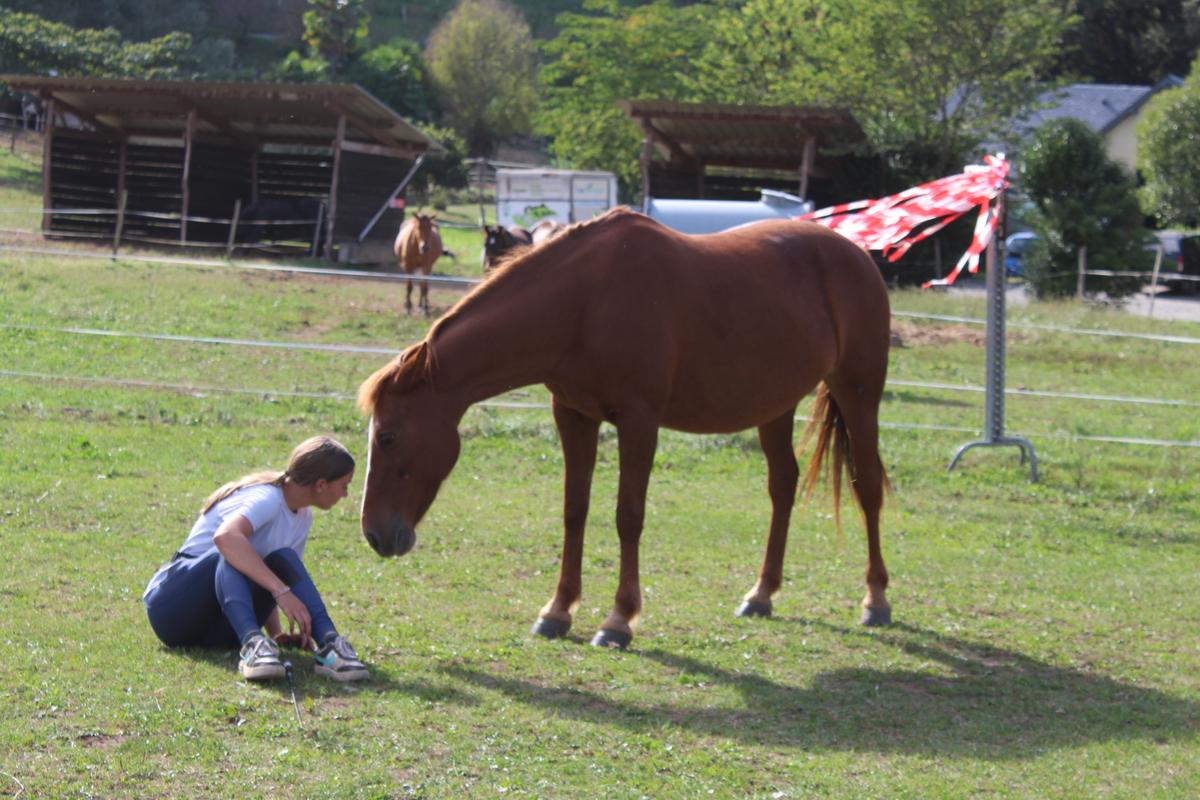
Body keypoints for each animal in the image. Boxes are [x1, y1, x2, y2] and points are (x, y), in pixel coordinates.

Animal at [358, 206, 892, 649]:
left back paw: (876, 601)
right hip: (774, 406)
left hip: (859, 394)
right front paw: (557, 611)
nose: (376, 535)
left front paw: (618, 620)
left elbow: (627, 517)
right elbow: (575, 510)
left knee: (866, 487)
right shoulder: (573, 415)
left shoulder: (640, 421)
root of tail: (856, 255)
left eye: (389, 436)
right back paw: (761, 594)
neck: (584, 304)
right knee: (783, 484)